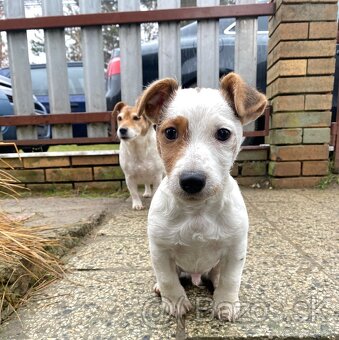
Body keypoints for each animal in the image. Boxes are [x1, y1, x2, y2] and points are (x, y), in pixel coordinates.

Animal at [137, 73, 266, 322]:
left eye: (223, 133)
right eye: (170, 132)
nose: (192, 181)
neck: (197, 212)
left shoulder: (235, 249)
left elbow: (230, 280)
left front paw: (226, 304)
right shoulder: (160, 249)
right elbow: (168, 279)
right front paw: (175, 302)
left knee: (217, 274)